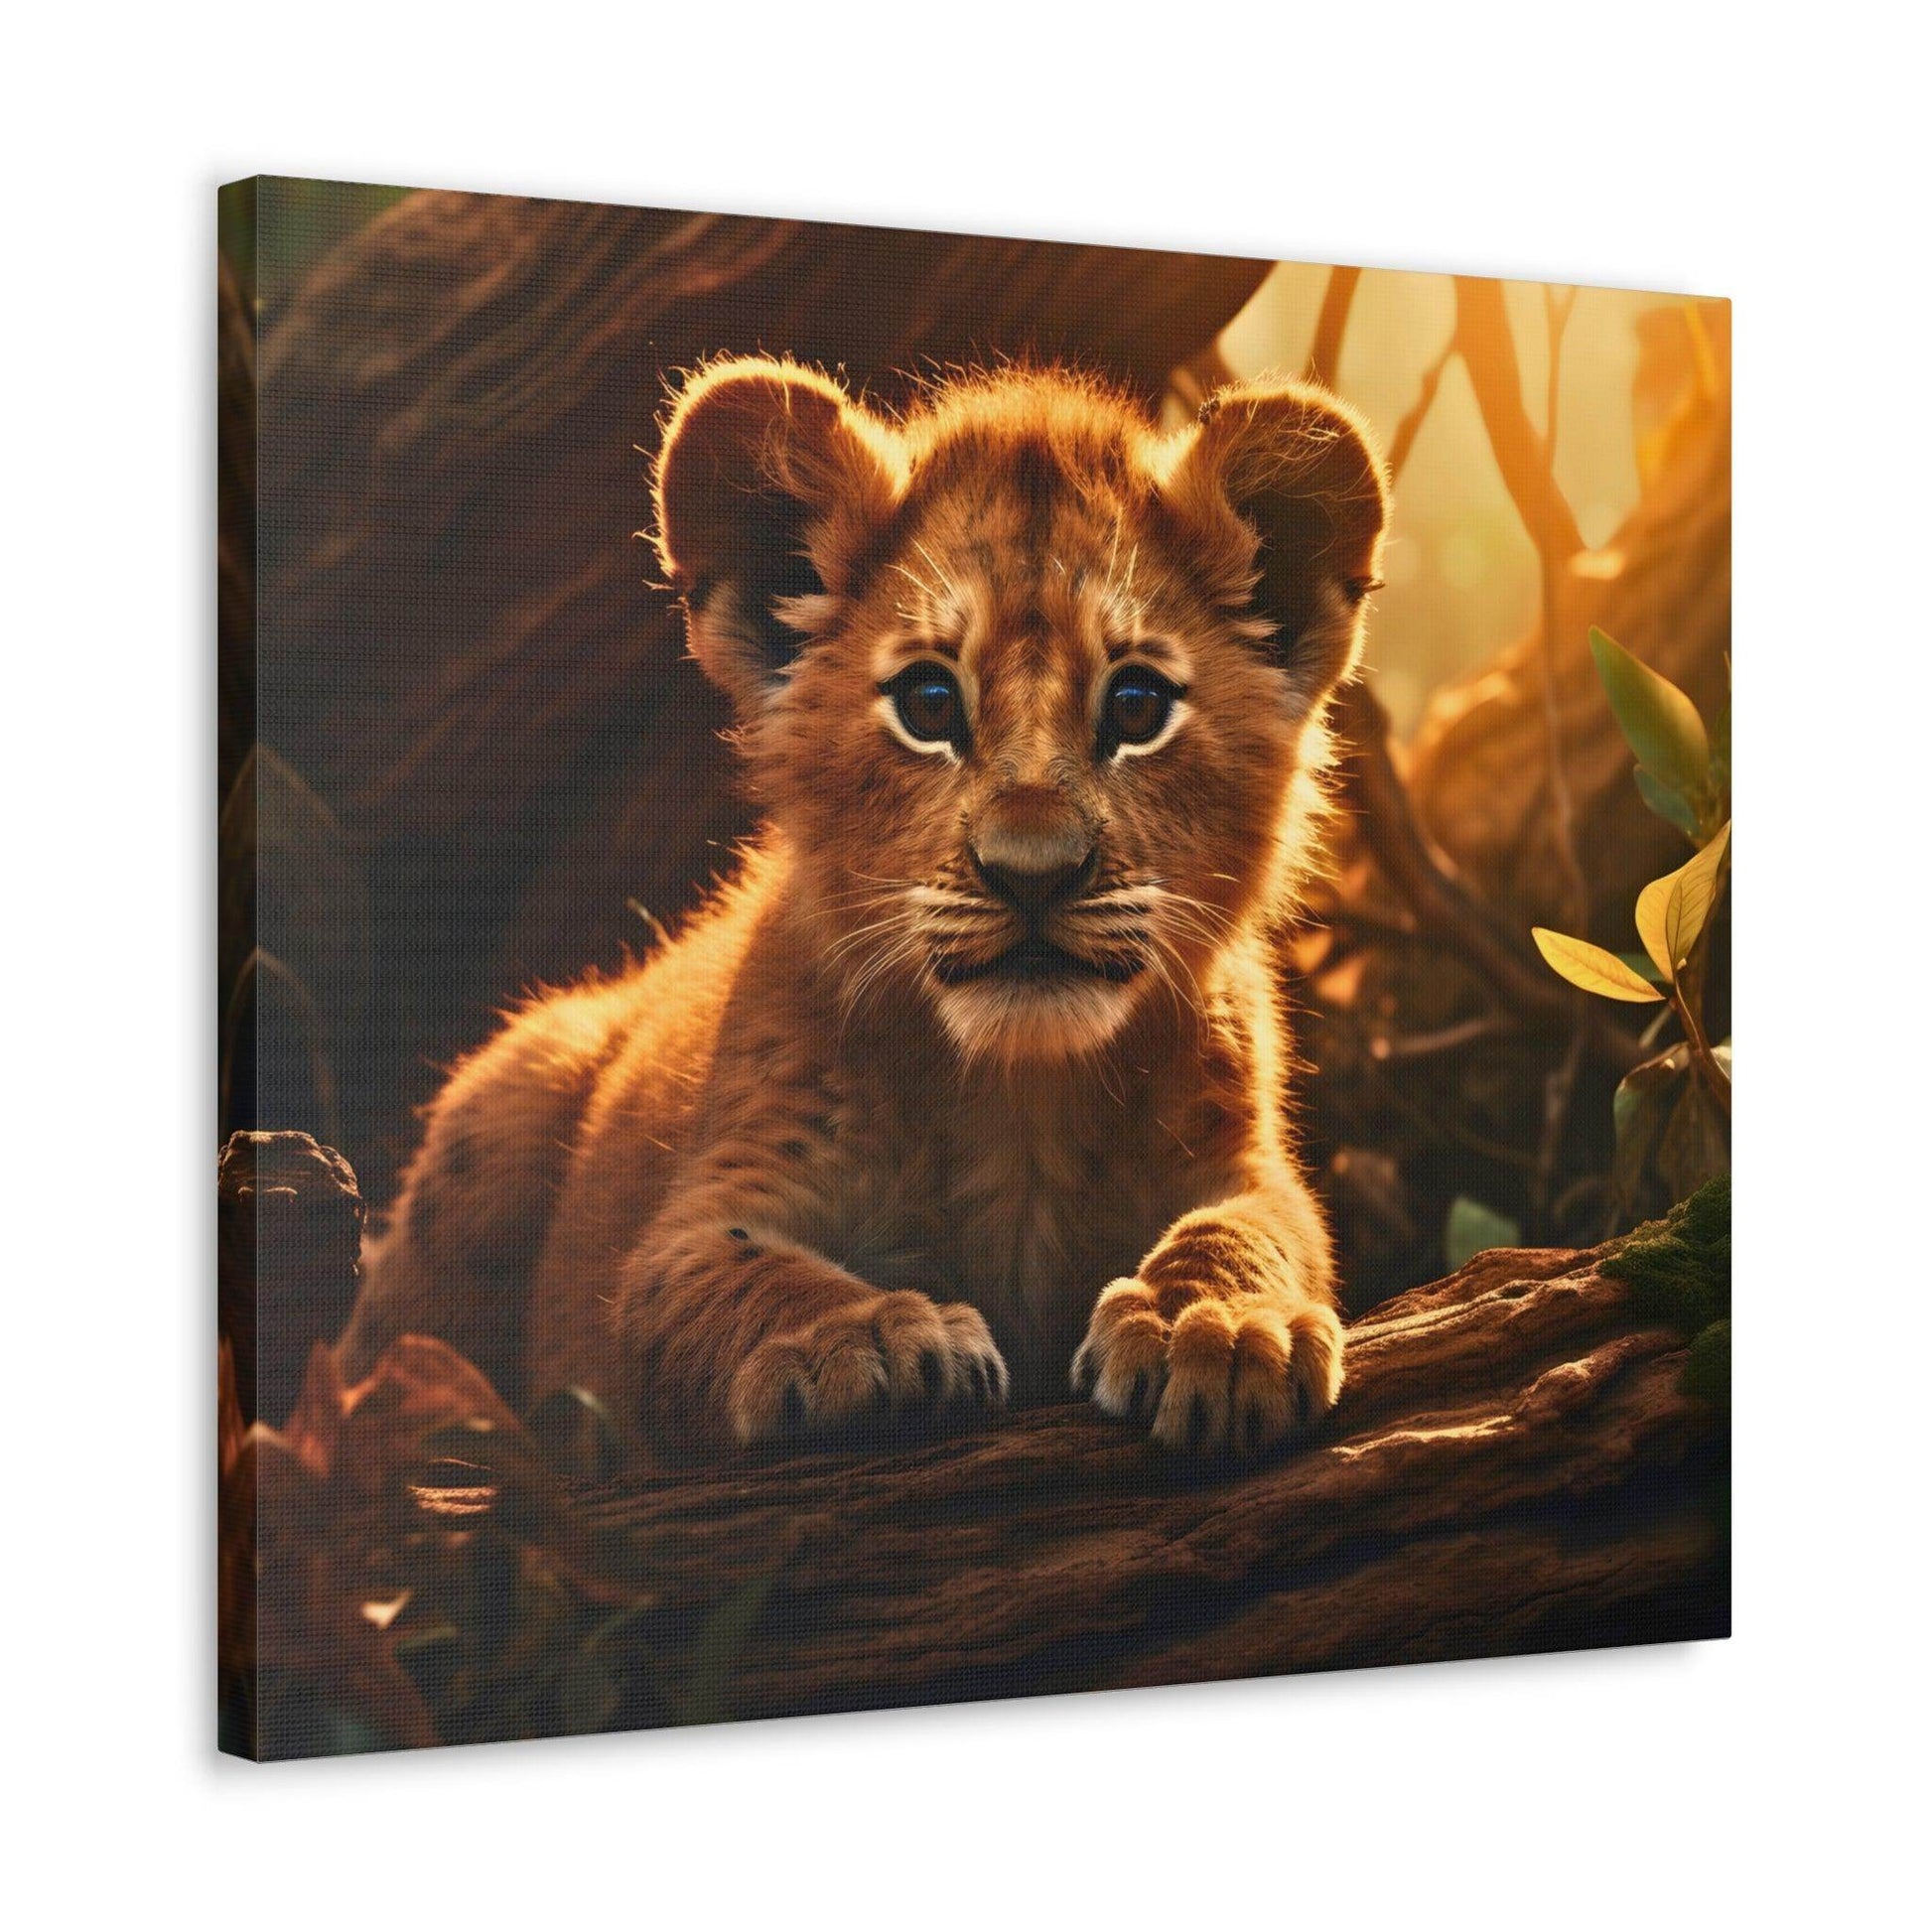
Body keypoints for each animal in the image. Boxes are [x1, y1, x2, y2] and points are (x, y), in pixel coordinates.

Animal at [337, 355, 1388, 1459]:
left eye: (1137, 706)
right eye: (928, 704)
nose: (1032, 872)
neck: (1019, 1102)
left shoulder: (1246, 1165)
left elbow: (1249, 1230)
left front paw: (1218, 1323)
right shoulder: (695, 1218)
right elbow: (743, 1276)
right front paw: (865, 1338)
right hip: (506, 1096)